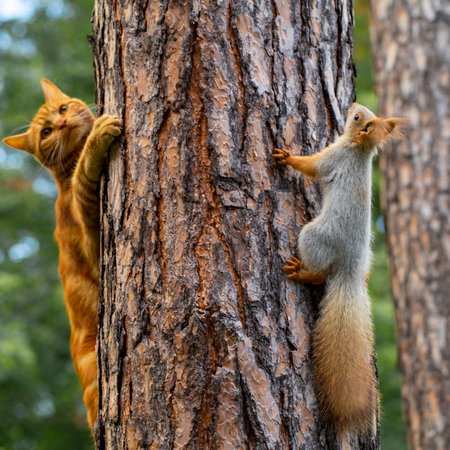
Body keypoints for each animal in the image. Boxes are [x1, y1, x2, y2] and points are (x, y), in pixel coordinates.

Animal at [2, 79, 122, 428]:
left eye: (64, 108)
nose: (63, 123)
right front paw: (96, 139)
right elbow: (84, 176)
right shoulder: (95, 248)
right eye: (46, 132)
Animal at [272, 103, 406, 440]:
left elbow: (312, 167)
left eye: (357, 118)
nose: (352, 106)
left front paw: (287, 157)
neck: (360, 149)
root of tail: (351, 269)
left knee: (320, 273)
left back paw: (302, 272)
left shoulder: (334, 156)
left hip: (313, 236)